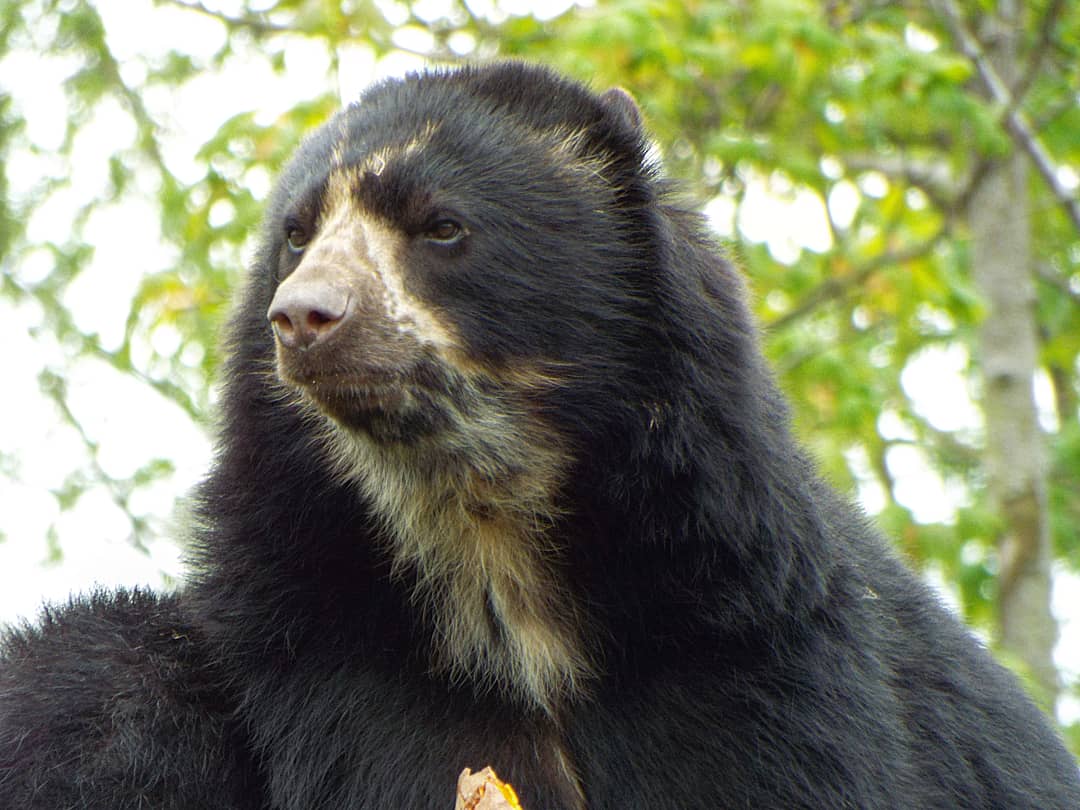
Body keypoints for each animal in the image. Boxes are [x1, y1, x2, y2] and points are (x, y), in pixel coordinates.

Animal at [2, 61, 1079, 809]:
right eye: (296, 235)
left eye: (441, 226)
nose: (305, 317)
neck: (487, 534)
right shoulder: (340, 646)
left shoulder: (746, 641)